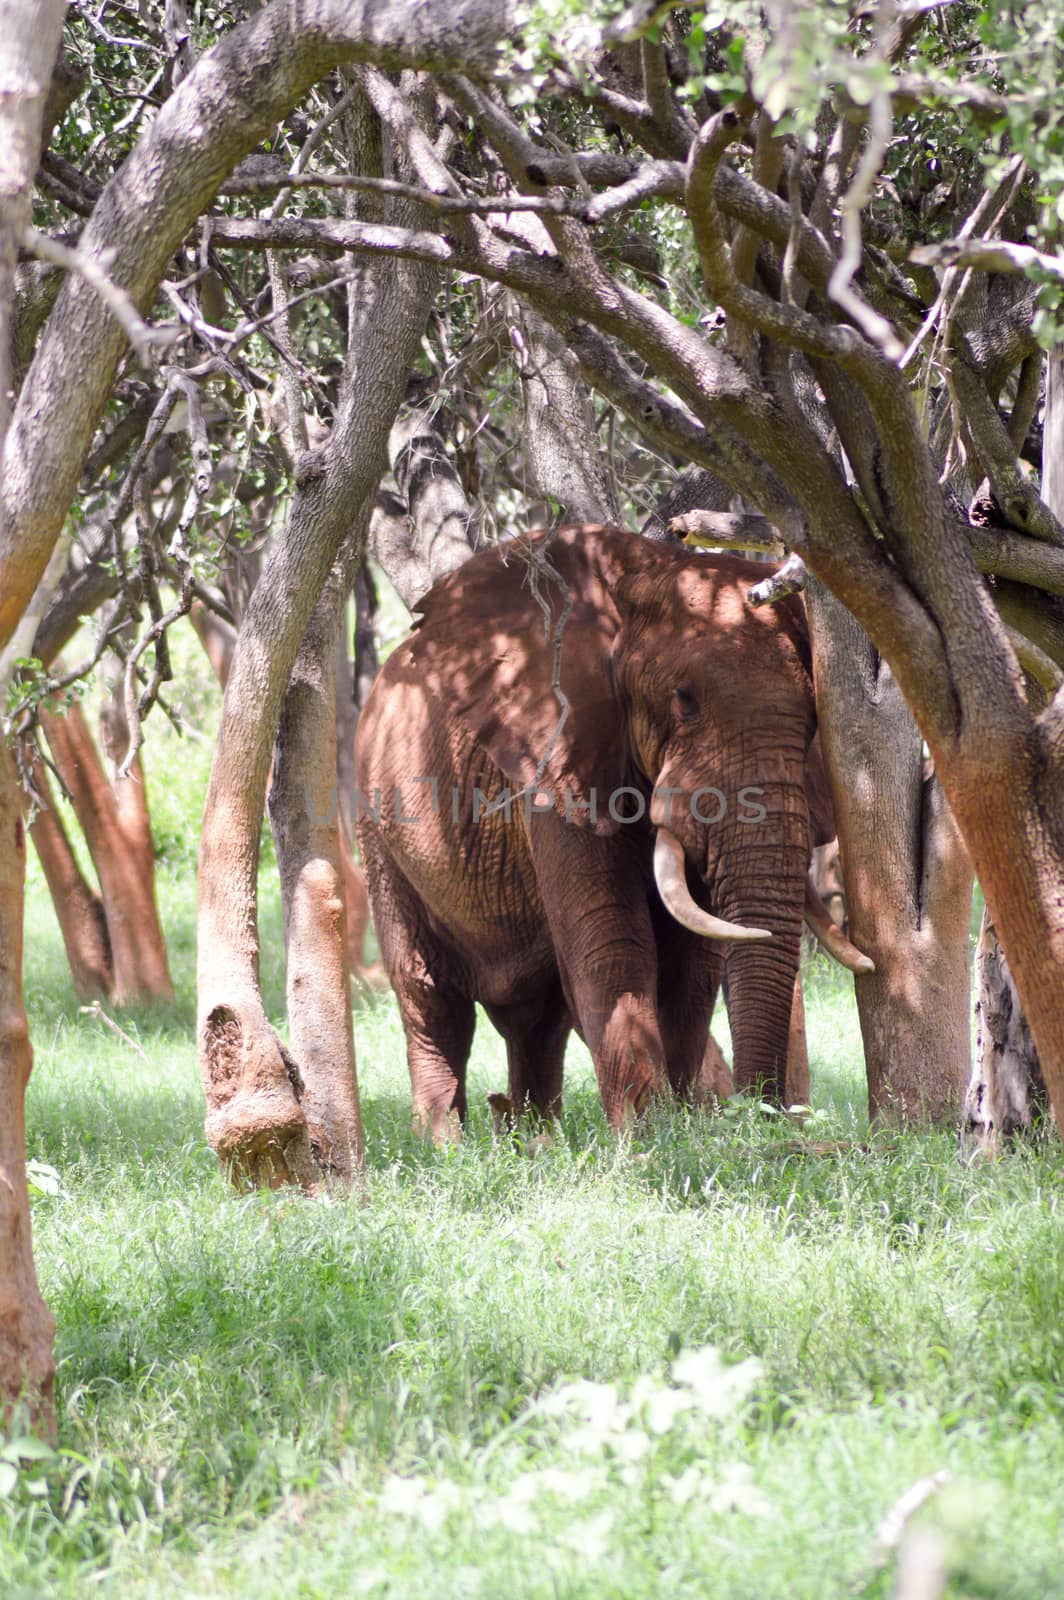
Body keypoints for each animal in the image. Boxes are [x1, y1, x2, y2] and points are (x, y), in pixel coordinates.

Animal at [356, 524, 870, 1139]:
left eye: (814, 722)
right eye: (685, 699)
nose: (765, 1114)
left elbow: (692, 963)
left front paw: (685, 1129)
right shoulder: (556, 758)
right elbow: (616, 941)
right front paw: (652, 1138)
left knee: (538, 1016)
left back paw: (534, 1140)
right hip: (379, 831)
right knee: (430, 999)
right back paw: (446, 1145)